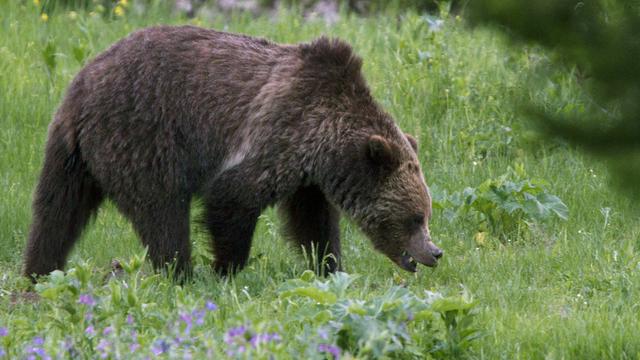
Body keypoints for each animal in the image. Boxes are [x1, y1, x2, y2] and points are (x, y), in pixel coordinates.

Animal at [22, 26, 442, 282]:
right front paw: (227, 269)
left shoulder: (308, 176)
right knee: (162, 212)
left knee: (56, 212)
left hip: (72, 156)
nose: (434, 252)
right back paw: (181, 273)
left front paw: (329, 266)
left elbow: (313, 221)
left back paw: (38, 273)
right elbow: (233, 196)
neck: (326, 143)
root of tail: (81, 86)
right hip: (141, 136)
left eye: (425, 214)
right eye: (414, 217)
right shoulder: (280, 129)